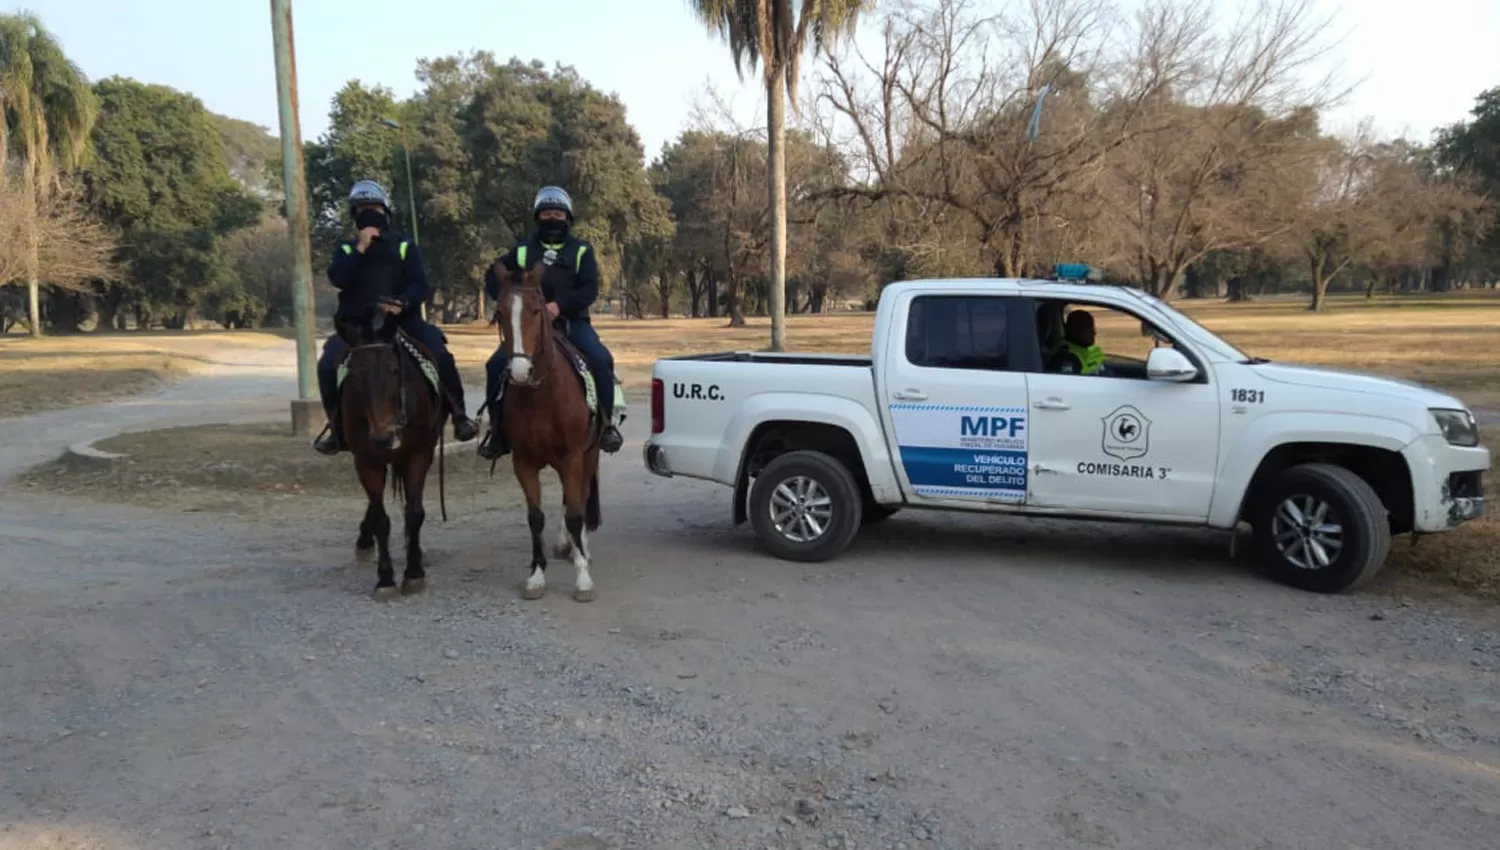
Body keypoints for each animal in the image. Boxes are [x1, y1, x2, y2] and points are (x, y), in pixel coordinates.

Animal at [333, 304, 441, 599]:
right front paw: (385, 578)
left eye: (394, 369)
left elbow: (414, 513)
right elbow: (382, 518)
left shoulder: (419, 454)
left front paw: (414, 573)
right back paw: (365, 541)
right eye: (354, 374)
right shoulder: (366, 460)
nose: (383, 438)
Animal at [495, 259, 606, 605]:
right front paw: (536, 575)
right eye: (500, 312)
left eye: (536, 310)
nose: (519, 371)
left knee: (580, 499)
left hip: (588, 456)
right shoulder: (523, 462)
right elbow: (535, 518)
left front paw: (583, 579)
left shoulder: (573, 457)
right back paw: (565, 544)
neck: (541, 394)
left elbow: (575, 513)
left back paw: (581, 549)